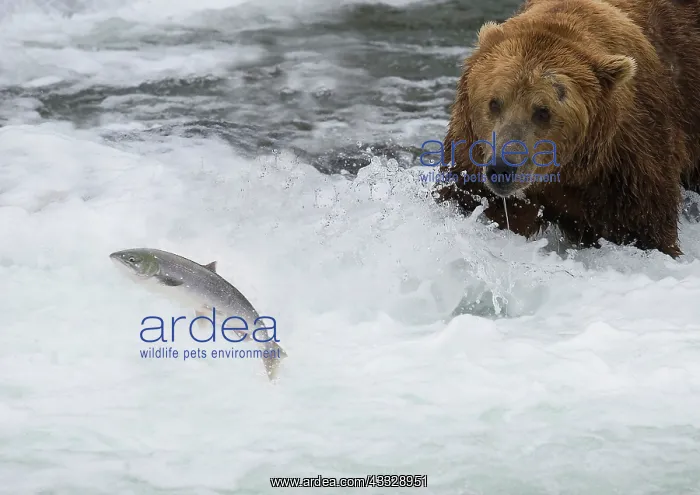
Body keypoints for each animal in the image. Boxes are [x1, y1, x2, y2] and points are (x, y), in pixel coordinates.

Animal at [435, 0, 700, 258]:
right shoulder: (473, 152)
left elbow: (642, 228)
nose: (502, 168)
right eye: (494, 102)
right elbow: (478, 202)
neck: (568, 170)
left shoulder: (628, 163)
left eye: (543, 111)